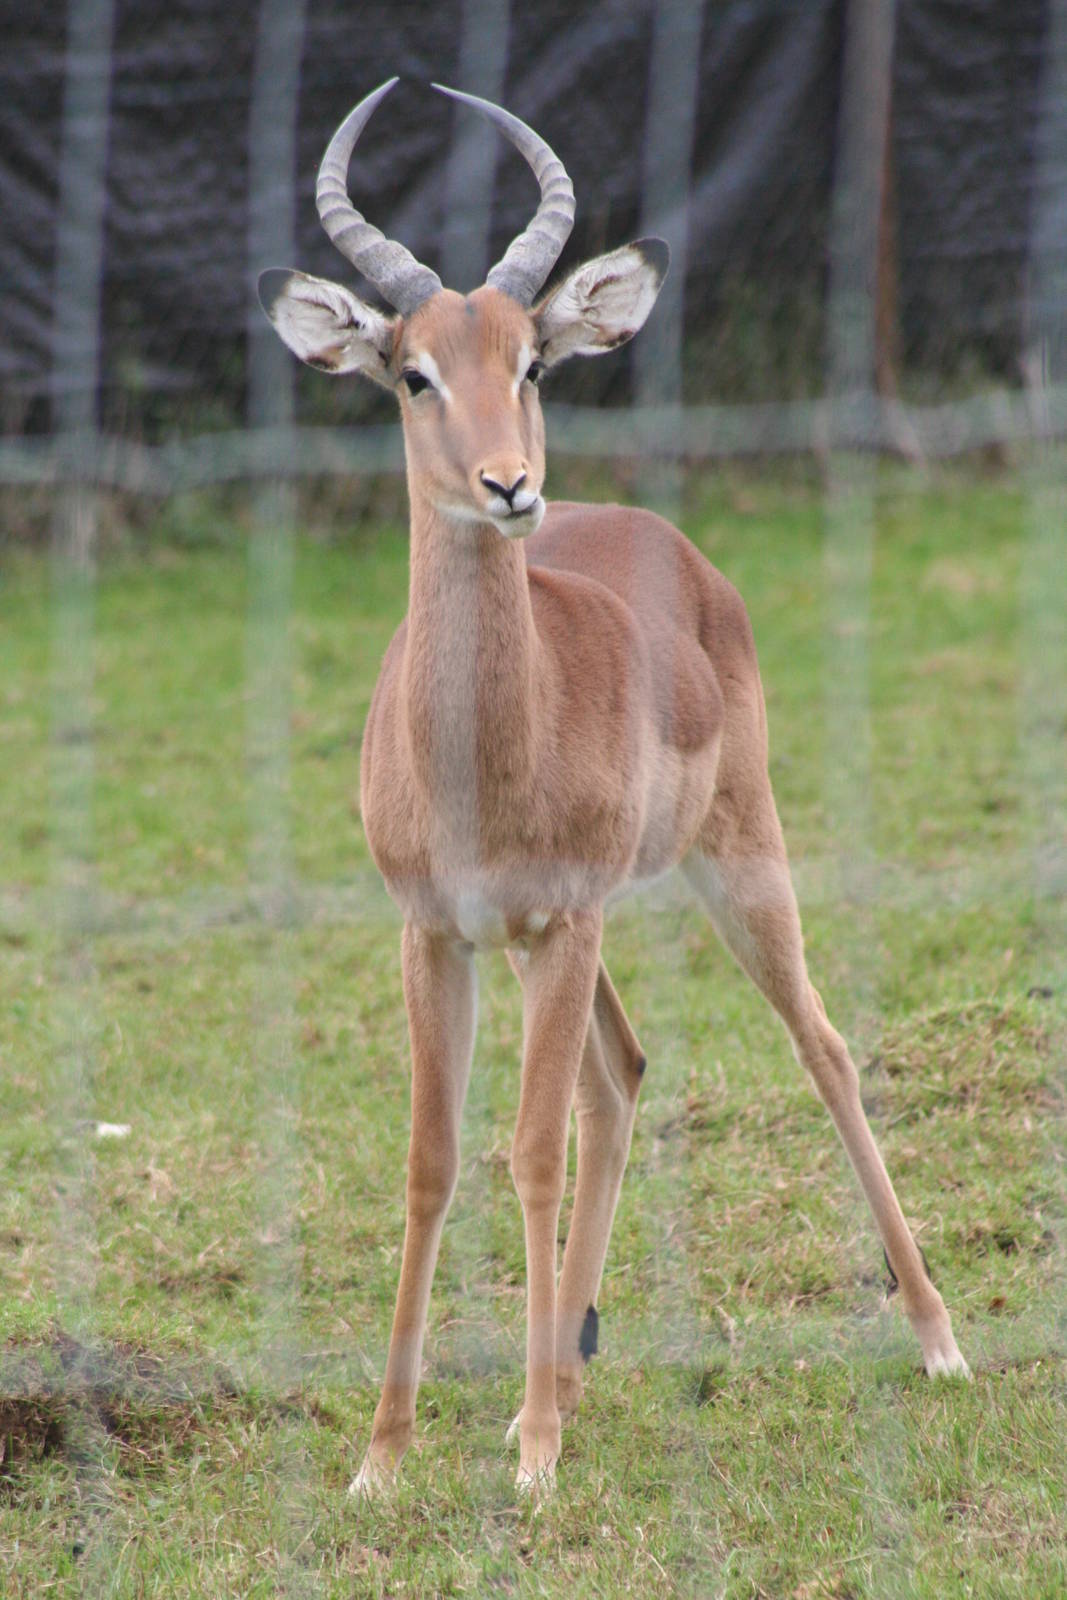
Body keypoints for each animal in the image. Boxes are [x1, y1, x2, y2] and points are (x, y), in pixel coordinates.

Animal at [259, 78, 969, 1497]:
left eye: (530, 361)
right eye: (412, 371)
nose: (508, 485)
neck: (478, 758)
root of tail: (669, 545)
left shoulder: (560, 921)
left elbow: (527, 1152)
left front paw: (529, 1461)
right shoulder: (435, 933)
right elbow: (431, 1162)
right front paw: (384, 1455)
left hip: (725, 866)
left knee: (818, 1049)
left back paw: (933, 1341)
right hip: (570, 939)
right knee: (619, 1077)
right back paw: (570, 1371)